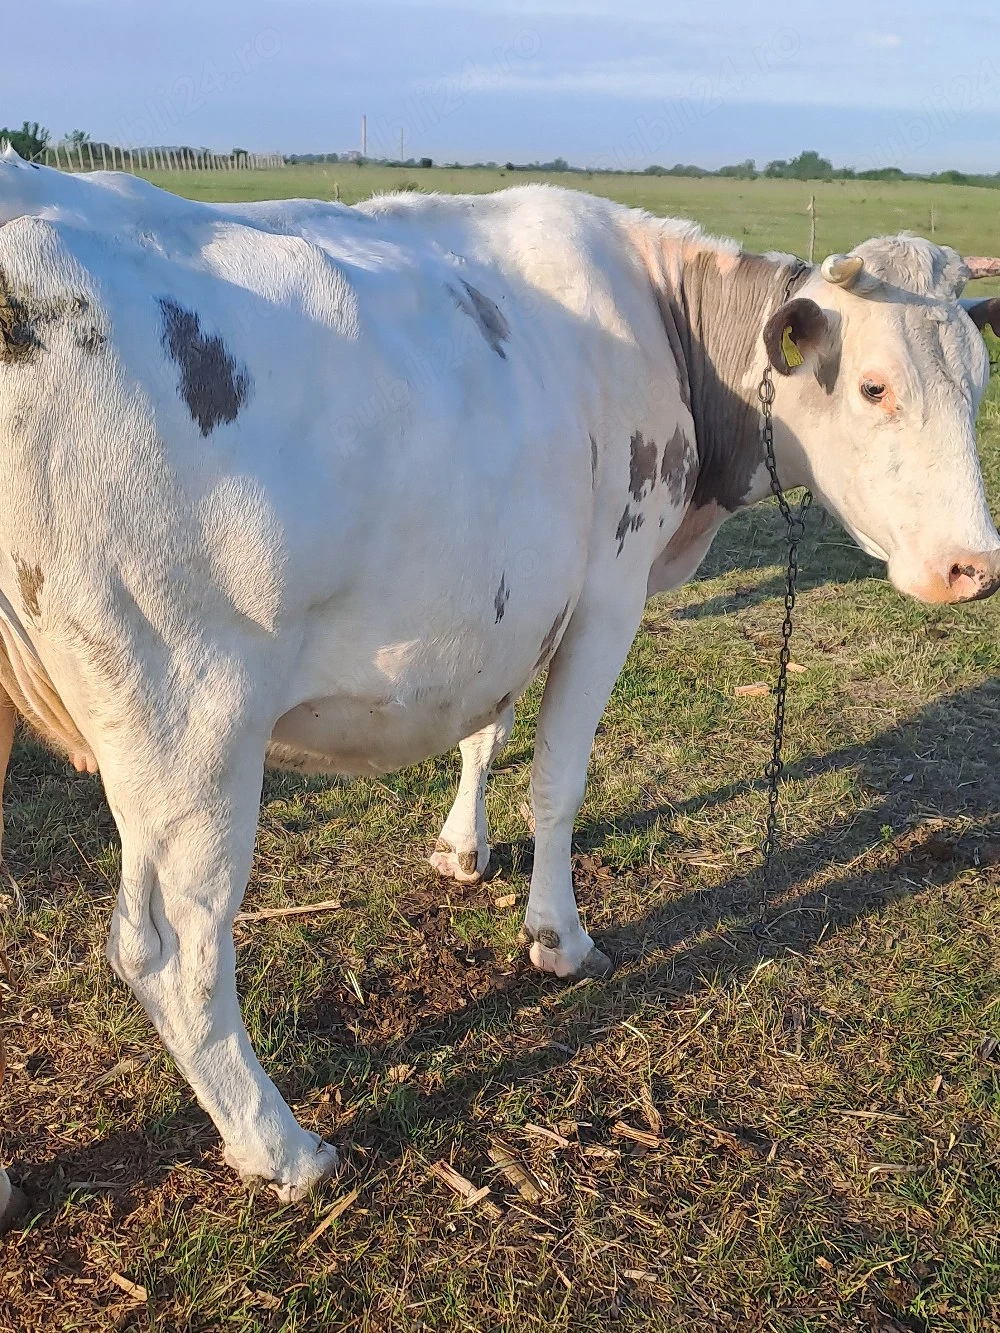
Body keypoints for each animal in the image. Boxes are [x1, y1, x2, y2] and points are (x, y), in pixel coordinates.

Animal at [1, 144, 999, 1211]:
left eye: (981, 385)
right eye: (874, 387)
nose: (973, 565)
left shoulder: (511, 597)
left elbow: (487, 728)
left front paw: (460, 847)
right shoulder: (608, 586)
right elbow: (559, 780)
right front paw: (560, 938)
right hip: (189, 709)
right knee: (172, 944)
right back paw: (283, 1146)